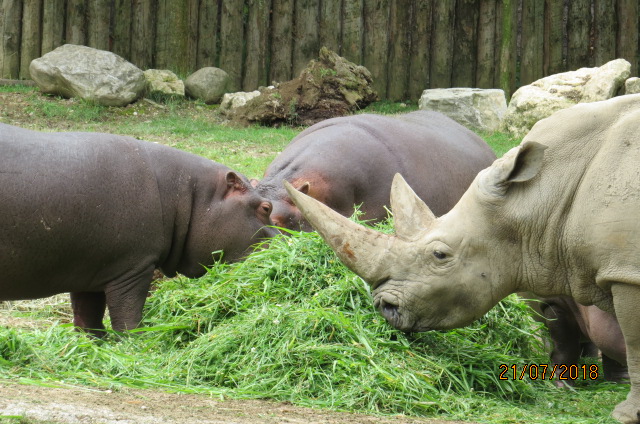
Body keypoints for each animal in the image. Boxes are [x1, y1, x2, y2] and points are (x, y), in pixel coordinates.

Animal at [0, 123, 276, 336]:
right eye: (266, 207)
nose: (284, 243)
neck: (188, 195)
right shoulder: (133, 269)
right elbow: (128, 317)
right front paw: (137, 344)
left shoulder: (89, 270)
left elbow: (87, 319)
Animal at [285, 94, 640, 423]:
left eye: (440, 255)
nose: (384, 308)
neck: (536, 197)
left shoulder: (626, 273)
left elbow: (633, 342)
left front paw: (624, 414)